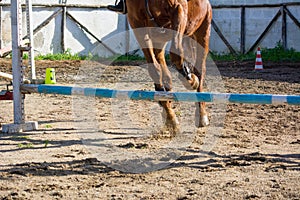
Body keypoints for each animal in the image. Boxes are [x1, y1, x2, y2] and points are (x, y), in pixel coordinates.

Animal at [125, 0, 212, 131]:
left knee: (200, 70)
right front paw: (171, 118)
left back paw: (202, 115)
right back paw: (168, 111)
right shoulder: (137, 22)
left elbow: (175, 53)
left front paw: (191, 80)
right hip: (159, 38)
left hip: (203, 31)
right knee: (165, 73)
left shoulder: (178, 8)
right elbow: (155, 70)